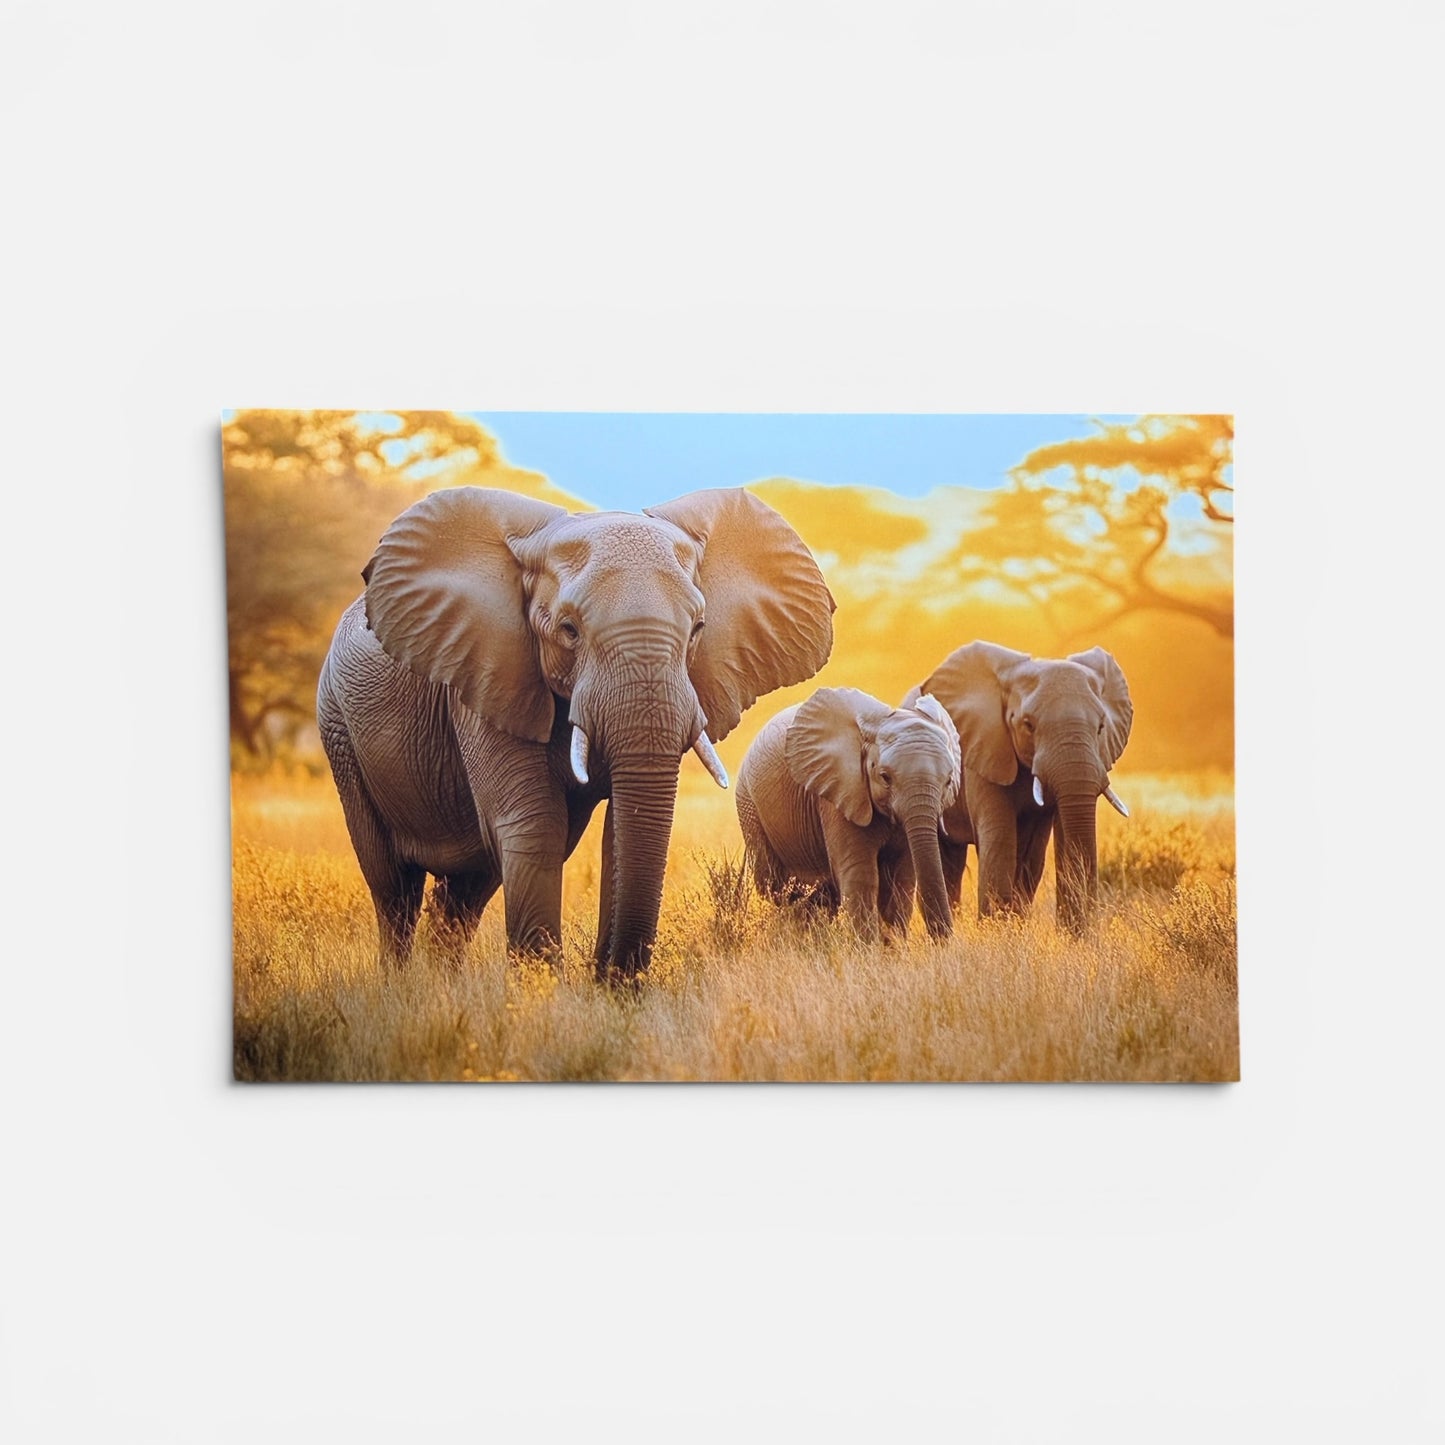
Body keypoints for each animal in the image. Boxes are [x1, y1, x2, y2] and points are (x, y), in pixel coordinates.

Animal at [316, 485, 835, 980]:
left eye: (698, 629)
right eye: (569, 630)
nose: (606, 978)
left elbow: (620, 829)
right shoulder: (488, 674)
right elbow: (536, 825)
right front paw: (542, 993)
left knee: (467, 889)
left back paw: (445, 985)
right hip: (339, 730)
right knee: (393, 887)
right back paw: (401, 985)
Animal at [734, 688, 962, 940]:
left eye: (948, 781)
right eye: (885, 777)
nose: (942, 940)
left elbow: (900, 879)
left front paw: (893, 945)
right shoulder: (839, 794)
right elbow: (861, 876)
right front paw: (869, 948)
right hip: (749, 808)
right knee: (776, 888)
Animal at [904, 642, 1133, 931]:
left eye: (1101, 726)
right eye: (1028, 725)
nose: (1083, 931)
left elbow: (1035, 854)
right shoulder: (983, 750)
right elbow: (1000, 839)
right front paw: (997, 934)